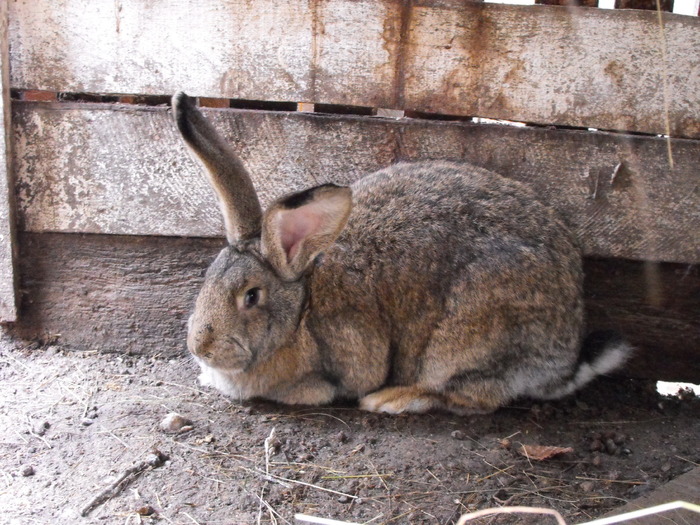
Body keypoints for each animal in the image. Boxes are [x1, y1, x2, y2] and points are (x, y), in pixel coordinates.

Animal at [172, 92, 632, 416]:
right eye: (208, 278)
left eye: (251, 297)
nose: (200, 347)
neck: (301, 309)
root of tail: (565, 361)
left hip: (464, 339)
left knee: (473, 398)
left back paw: (391, 400)